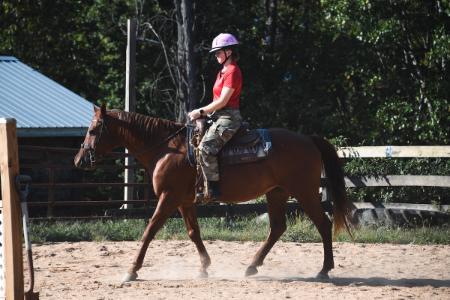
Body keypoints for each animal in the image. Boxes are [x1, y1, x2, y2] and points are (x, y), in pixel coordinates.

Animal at [74, 105, 356, 282]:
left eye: (93, 130)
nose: (79, 160)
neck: (167, 148)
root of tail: (308, 139)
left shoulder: (168, 197)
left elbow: (149, 230)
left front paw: (131, 271)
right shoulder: (184, 201)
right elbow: (193, 232)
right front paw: (204, 267)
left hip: (304, 192)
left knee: (323, 224)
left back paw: (324, 270)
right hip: (276, 193)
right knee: (277, 227)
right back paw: (252, 266)